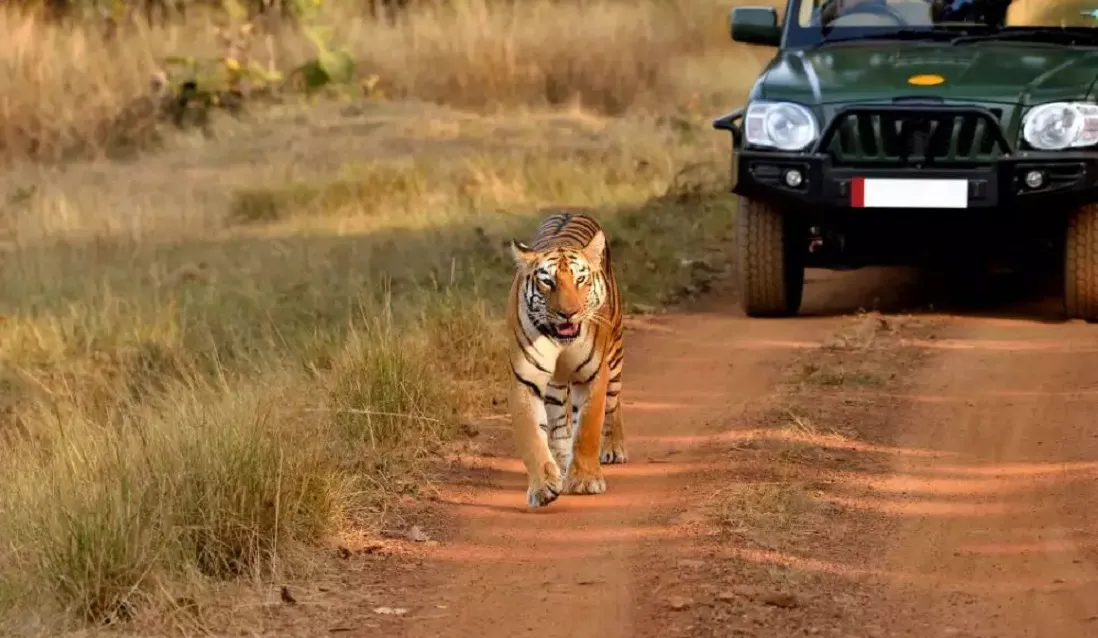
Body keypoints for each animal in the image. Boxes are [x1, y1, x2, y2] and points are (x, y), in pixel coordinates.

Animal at [505, 211, 628, 509]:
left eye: (580, 280)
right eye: (548, 282)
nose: (568, 313)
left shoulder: (594, 375)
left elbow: (588, 428)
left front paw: (585, 480)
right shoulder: (525, 380)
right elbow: (532, 437)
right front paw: (543, 486)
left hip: (615, 357)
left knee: (614, 404)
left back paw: (613, 448)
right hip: (555, 386)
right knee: (560, 424)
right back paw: (561, 465)